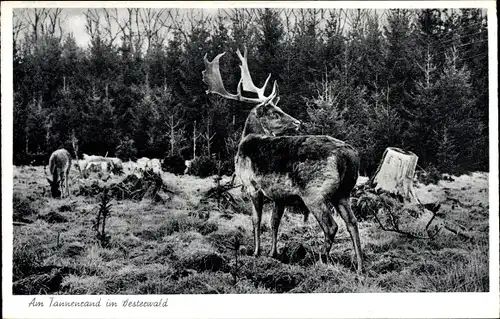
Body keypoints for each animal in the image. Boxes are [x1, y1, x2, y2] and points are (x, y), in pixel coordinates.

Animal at [202, 47, 364, 276]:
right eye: (274, 113)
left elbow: (256, 219)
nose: (297, 122)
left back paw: (321, 259)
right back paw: (359, 266)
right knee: (352, 222)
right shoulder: (280, 195)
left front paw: (256, 252)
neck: (246, 141)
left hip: (315, 193)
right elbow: (274, 222)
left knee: (332, 226)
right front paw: (273, 253)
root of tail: (349, 156)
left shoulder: (252, 185)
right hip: (343, 192)